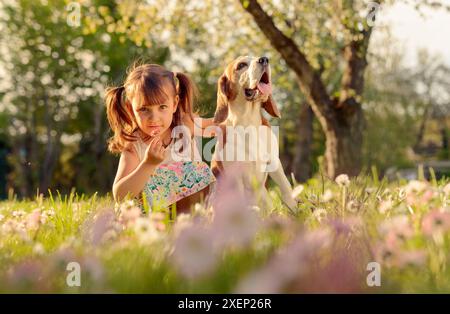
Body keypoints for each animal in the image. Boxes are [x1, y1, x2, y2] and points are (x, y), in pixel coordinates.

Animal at [211, 56, 298, 213]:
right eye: (241, 65)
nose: (264, 59)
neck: (248, 122)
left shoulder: (274, 161)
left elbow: (286, 187)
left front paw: (295, 211)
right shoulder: (235, 176)